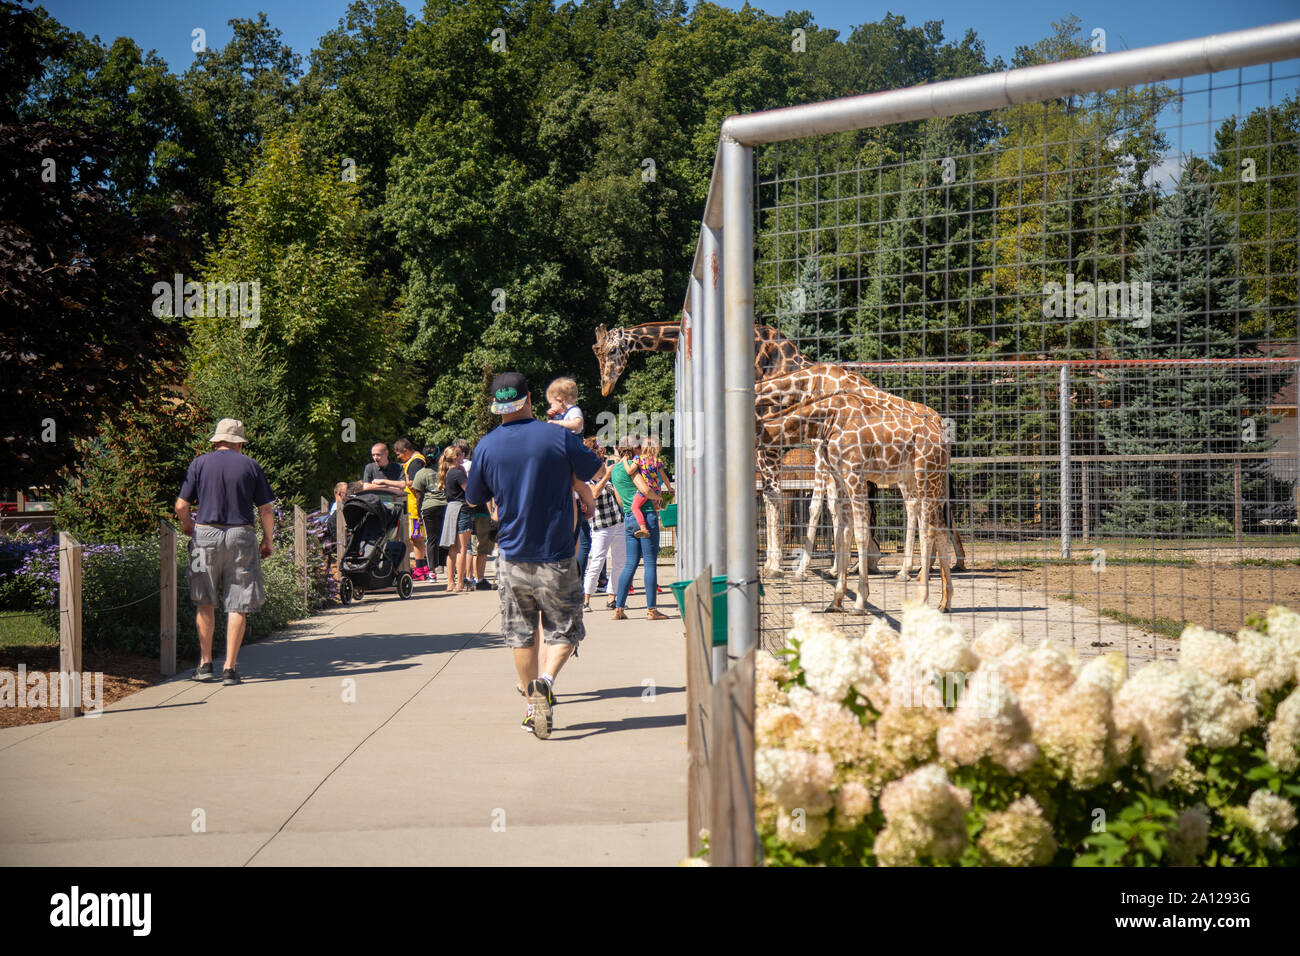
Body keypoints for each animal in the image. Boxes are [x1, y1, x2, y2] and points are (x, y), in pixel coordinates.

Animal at [754, 369, 956, 608]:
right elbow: (843, 531)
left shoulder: (852, 472)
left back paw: (920, 594)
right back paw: (944, 601)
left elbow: (852, 527)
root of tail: (941, 433)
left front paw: (858, 599)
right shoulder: (840, 476)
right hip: (924, 479)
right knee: (939, 525)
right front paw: (836, 599)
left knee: (927, 527)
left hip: (924, 476)